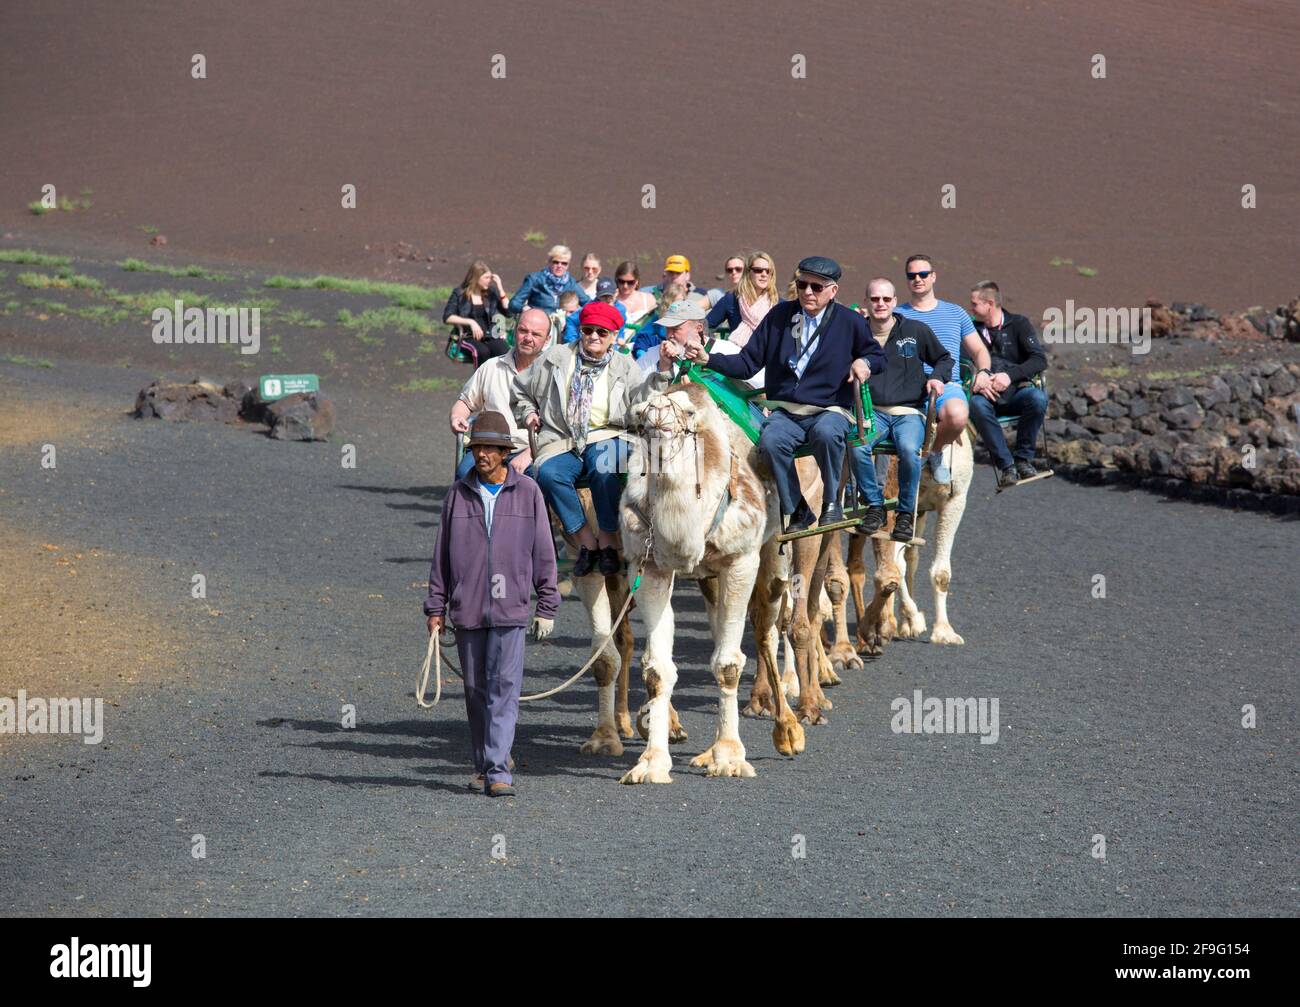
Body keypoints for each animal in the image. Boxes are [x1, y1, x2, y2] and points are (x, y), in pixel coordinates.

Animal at [616, 382, 806, 784]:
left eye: (688, 416)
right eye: (642, 421)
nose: (662, 425)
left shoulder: (740, 560)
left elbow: (729, 664)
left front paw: (730, 757)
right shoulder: (649, 565)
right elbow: (657, 669)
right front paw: (651, 762)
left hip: (773, 549)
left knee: (766, 628)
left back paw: (788, 729)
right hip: (709, 579)